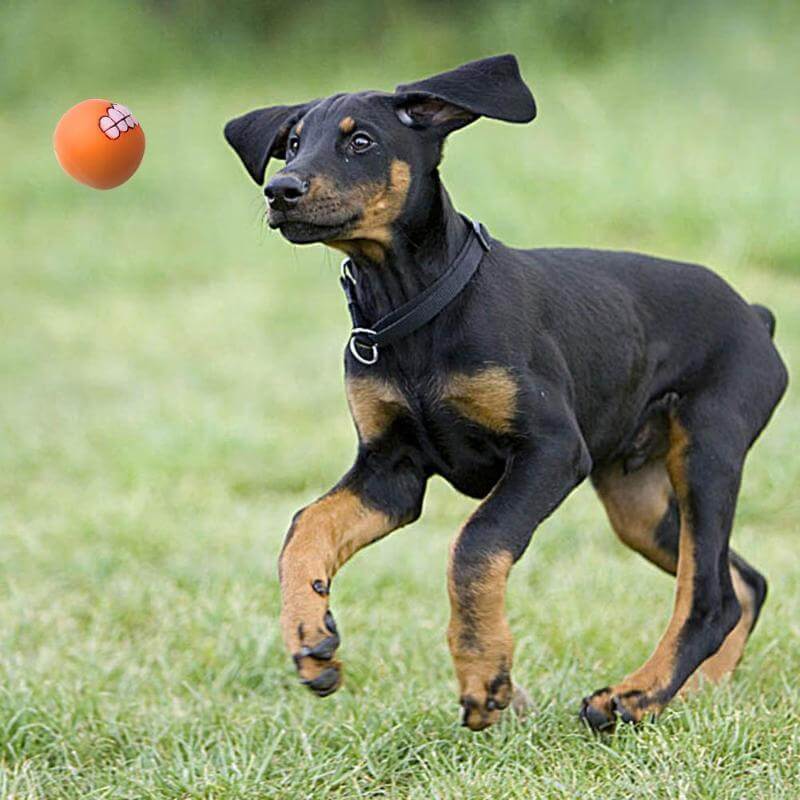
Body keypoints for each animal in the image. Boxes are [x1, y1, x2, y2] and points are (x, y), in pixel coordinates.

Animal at [223, 54, 788, 732]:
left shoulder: (551, 451)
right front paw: (311, 638)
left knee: (710, 596)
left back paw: (633, 697)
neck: (415, 309)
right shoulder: (392, 472)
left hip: (706, 449)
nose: (280, 191)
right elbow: (305, 527)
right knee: (744, 582)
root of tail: (755, 317)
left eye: (361, 143)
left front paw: (485, 677)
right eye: (292, 145)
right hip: (638, 498)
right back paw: (692, 692)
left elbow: (475, 544)